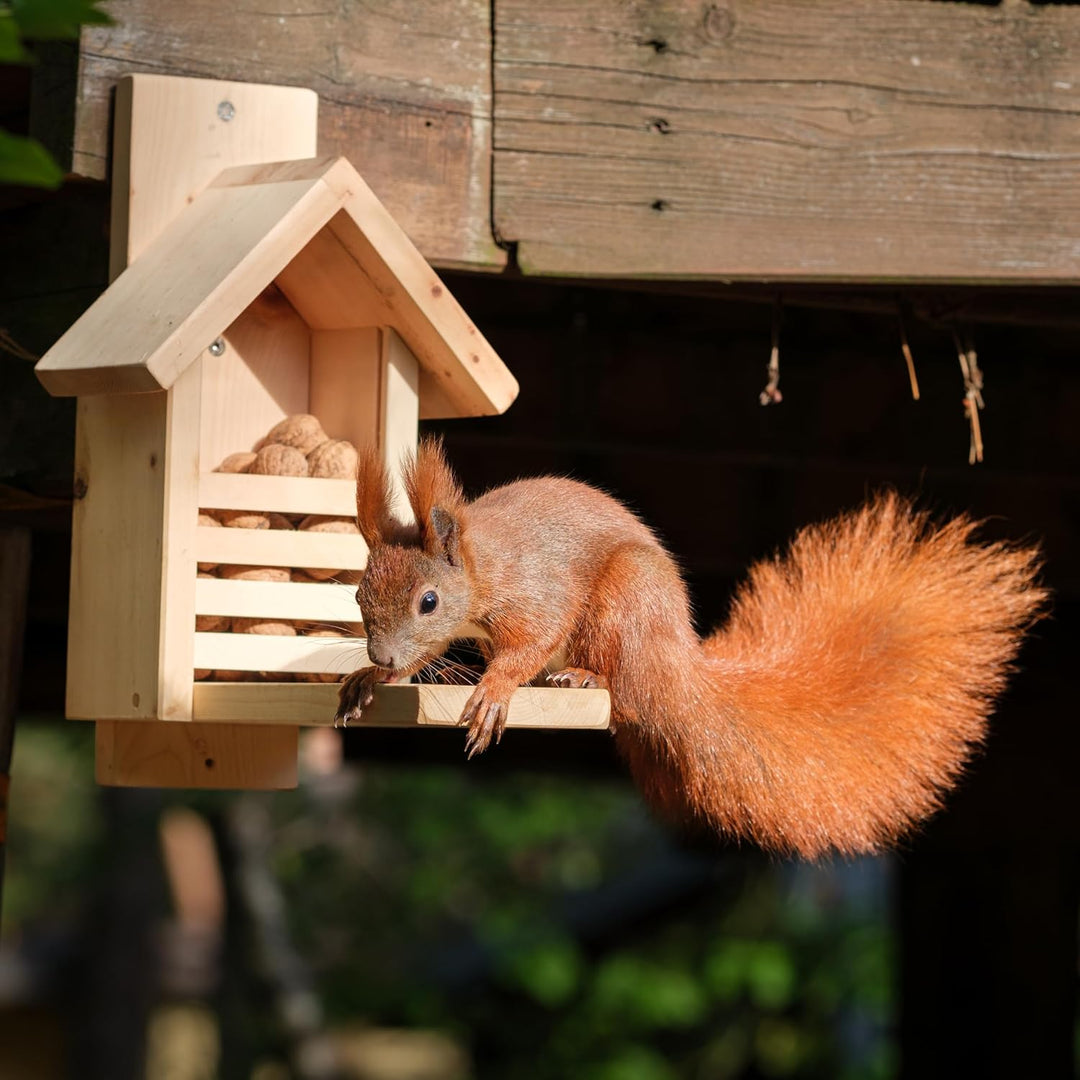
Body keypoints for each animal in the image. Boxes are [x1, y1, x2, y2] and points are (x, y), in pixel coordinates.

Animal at [337, 439, 1047, 859]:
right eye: (358, 595)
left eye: (430, 602)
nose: (383, 656)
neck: (484, 564)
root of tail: (677, 659)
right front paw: (367, 683)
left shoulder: (534, 595)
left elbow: (528, 643)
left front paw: (492, 691)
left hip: (625, 603)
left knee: (611, 671)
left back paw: (583, 678)